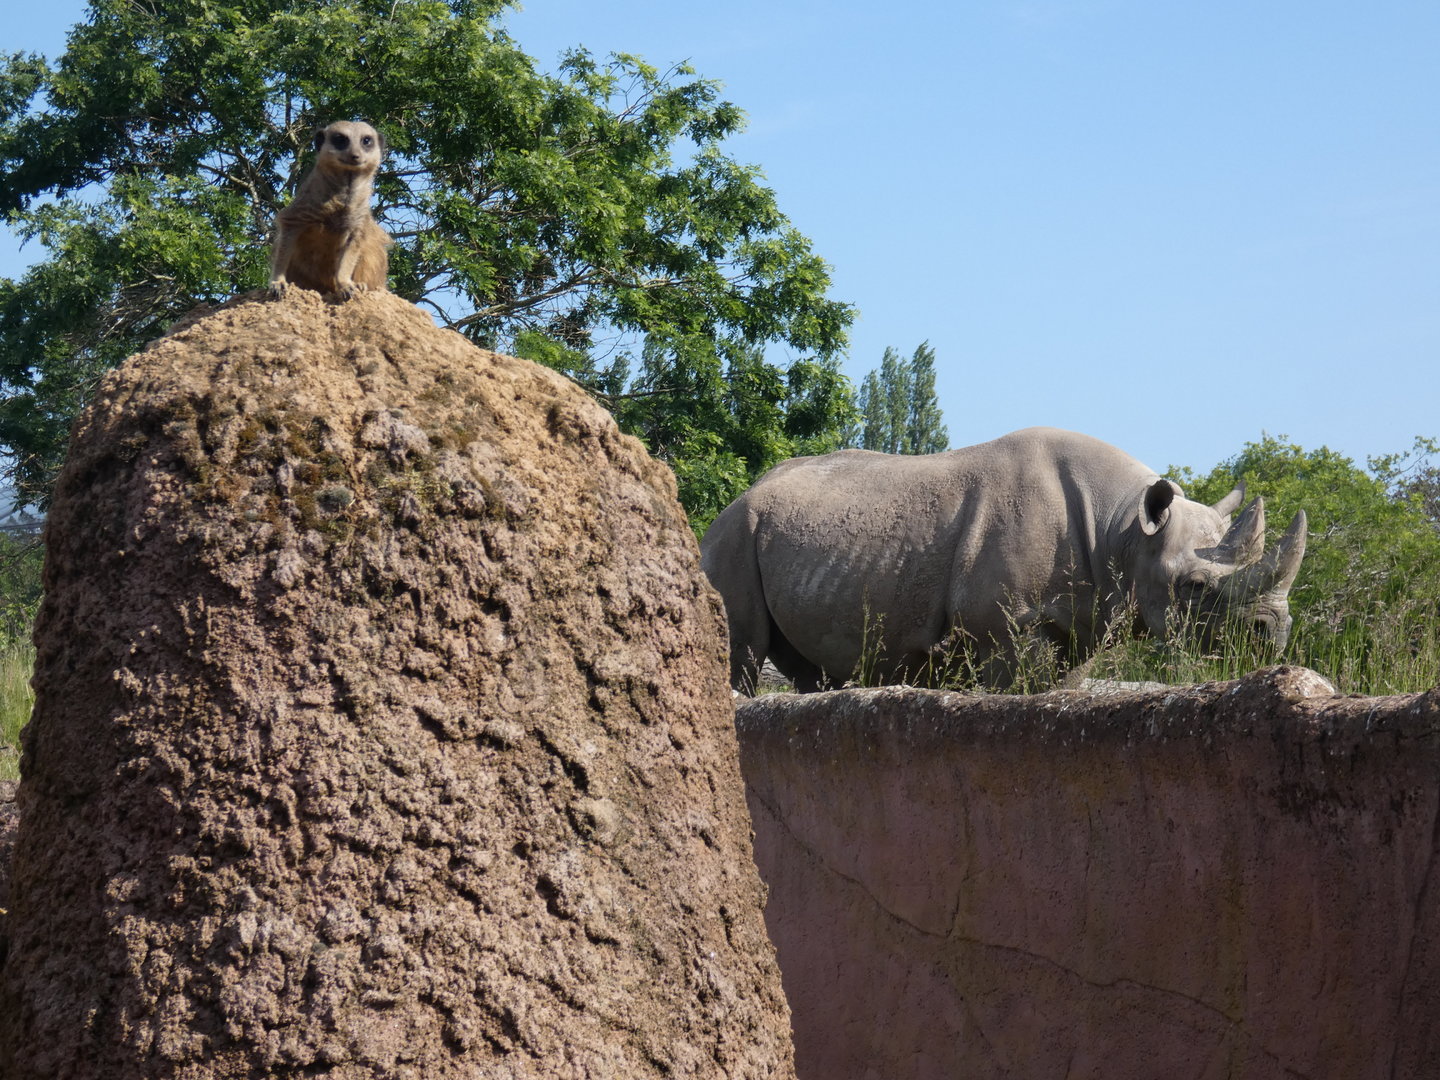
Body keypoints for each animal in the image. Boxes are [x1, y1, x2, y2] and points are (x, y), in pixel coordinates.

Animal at [700, 427, 1307, 692]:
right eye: (1196, 587)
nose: (1270, 633)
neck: (1125, 529)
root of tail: (733, 502)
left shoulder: (1083, 620)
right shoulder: (1002, 628)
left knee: (810, 671)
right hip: (730, 538)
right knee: (744, 653)